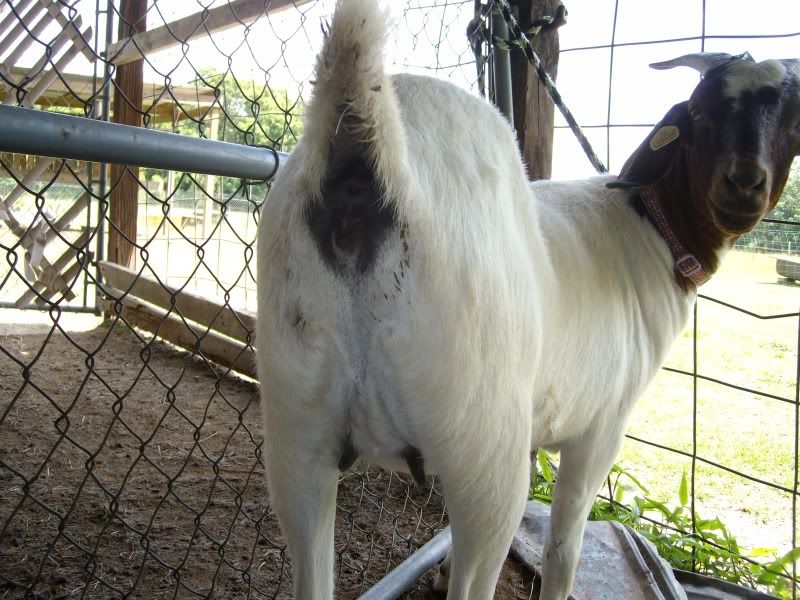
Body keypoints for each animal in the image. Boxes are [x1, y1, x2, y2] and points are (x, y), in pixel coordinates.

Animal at [255, 1, 800, 598]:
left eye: (794, 121)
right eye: (699, 114)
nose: (743, 184)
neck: (649, 230)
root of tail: (366, 148)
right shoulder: (600, 428)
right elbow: (564, 550)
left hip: (298, 427)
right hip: (483, 449)